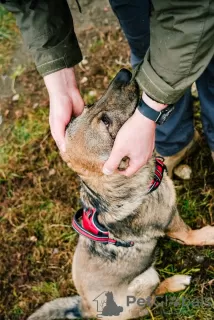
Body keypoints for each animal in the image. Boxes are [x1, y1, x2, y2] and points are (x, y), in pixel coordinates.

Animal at [28, 69, 214, 318]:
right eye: (106, 121)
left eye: (89, 105)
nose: (124, 74)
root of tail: (85, 308)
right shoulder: (172, 223)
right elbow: (191, 236)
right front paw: (208, 235)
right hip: (147, 279)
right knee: (153, 296)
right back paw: (177, 281)